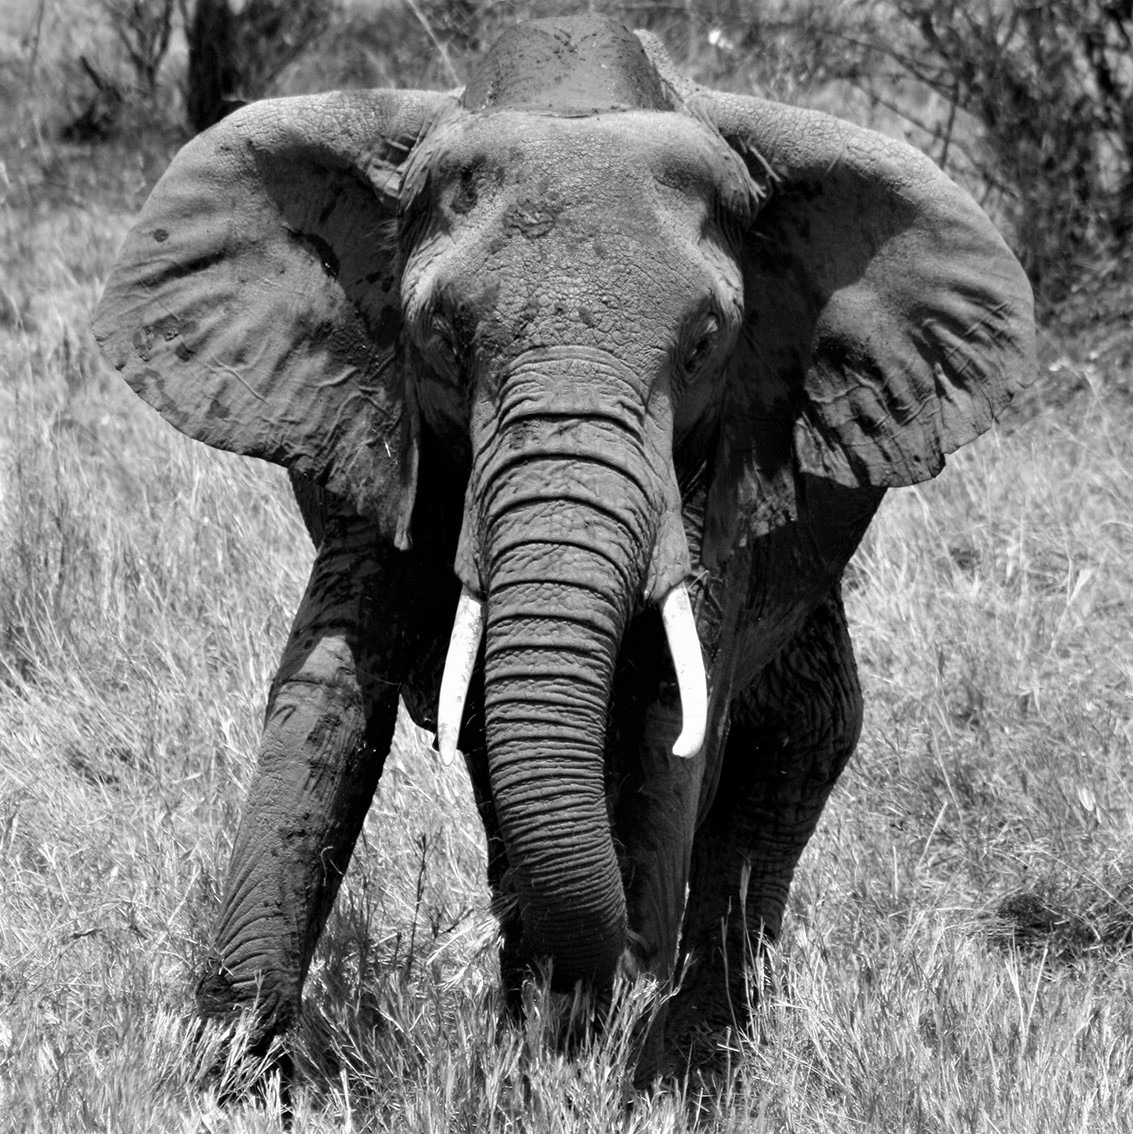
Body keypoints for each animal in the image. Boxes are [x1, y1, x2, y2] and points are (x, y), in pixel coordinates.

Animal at [94, 15, 1035, 1075]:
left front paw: (589, 1053)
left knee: (801, 732)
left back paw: (690, 1052)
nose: (628, 950)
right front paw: (231, 1076)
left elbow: (666, 701)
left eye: (706, 343)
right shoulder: (376, 423)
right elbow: (331, 687)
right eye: (441, 337)